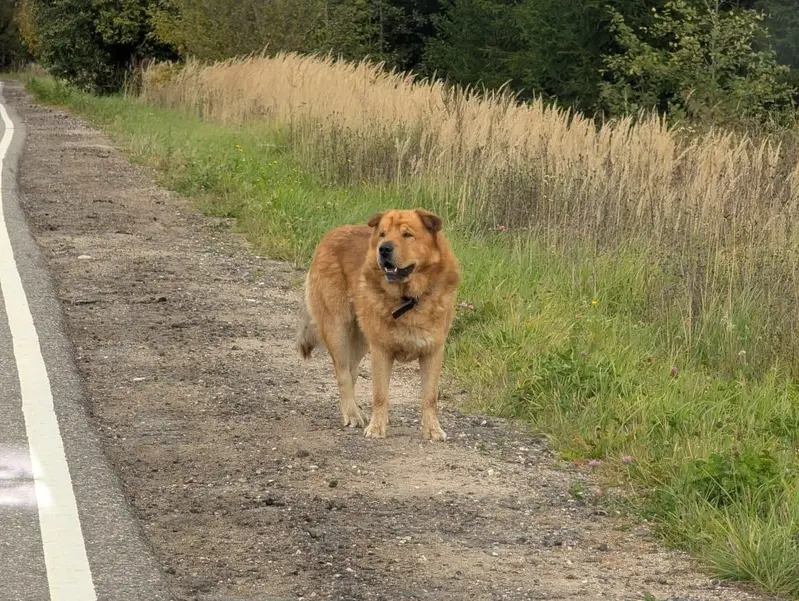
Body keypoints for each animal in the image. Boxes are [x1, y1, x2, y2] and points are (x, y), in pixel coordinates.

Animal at [296, 209, 461, 440]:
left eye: (407, 234)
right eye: (383, 234)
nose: (383, 249)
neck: (409, 299)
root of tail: (331, 234)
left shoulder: (433, 352)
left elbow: (429, 397)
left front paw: (432, 429)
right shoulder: (381, 351)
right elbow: (380, 394)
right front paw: (376, 428)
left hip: (361, 339)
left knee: (352, 372)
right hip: (338, 330)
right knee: (343, 374)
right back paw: (351, 414)